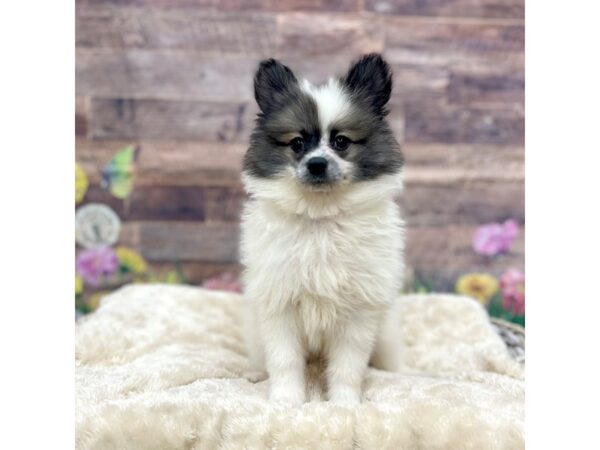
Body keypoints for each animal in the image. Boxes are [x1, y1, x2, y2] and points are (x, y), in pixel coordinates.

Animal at [241, 54, 406, 406]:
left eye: (341, 142)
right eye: (297, 143)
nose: (317, 164)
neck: (321, 218)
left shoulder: (358, 311)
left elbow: (348, 366)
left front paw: (344, 403)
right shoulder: (280, 304)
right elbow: (284, 360)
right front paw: (286, 401)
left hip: (387, 332)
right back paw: (255, 373)